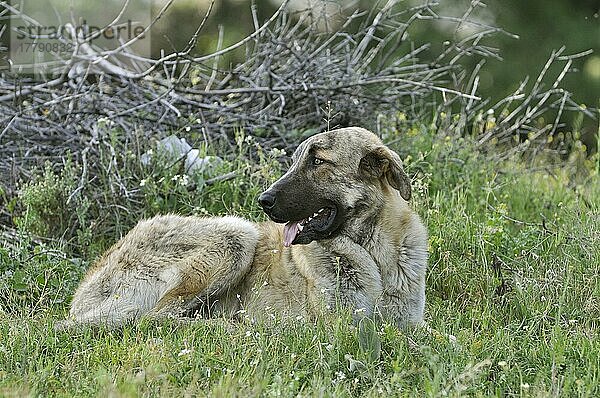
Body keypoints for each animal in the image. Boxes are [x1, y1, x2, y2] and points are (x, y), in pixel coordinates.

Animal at [56, 127, 426, 330]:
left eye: (318, 162)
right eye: (297, 160)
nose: (264, 200)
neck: (373, 250)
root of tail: (83, 295)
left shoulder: (410, 322)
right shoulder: (343, 325)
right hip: (237, 236)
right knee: (156, 318)